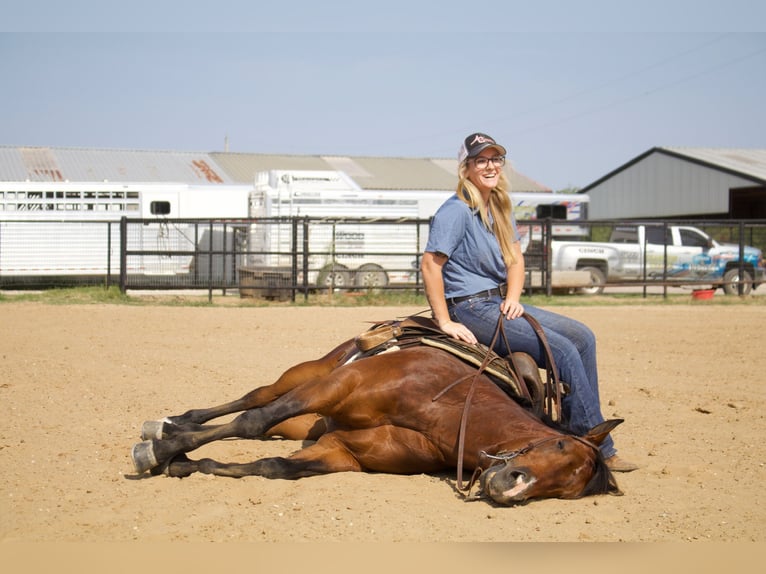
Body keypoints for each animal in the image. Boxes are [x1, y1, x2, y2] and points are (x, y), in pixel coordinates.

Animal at [132, 320, 624, 508]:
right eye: (558, 443)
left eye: (563, 491)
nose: (514, 486)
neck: (449, 410)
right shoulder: (338, 387)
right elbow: (251, 420)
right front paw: (160, 451)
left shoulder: (342, 451)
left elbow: (272, 467)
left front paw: (185, 464)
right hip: (310, 376)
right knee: (253, 402)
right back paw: (170, 424)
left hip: (303, 421)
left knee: (263, 428)